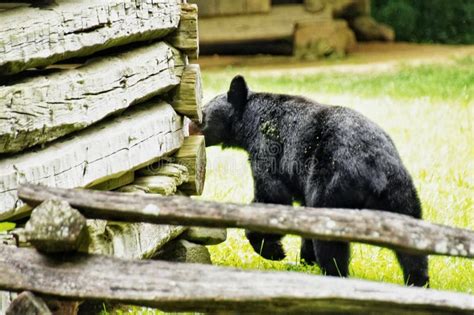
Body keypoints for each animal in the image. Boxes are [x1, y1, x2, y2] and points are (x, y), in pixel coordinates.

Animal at [195, 75, 430, 288]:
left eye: (203, 114)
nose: (194, 123)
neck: (252, 120)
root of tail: (375, 171)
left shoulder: (268, 150)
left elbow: (273, 198)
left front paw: (274, 251)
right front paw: (303, 261)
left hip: (332, 188)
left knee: (330, 244)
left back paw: (334, 275)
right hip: (401, 195)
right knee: (413, 250)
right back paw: (417, 282)